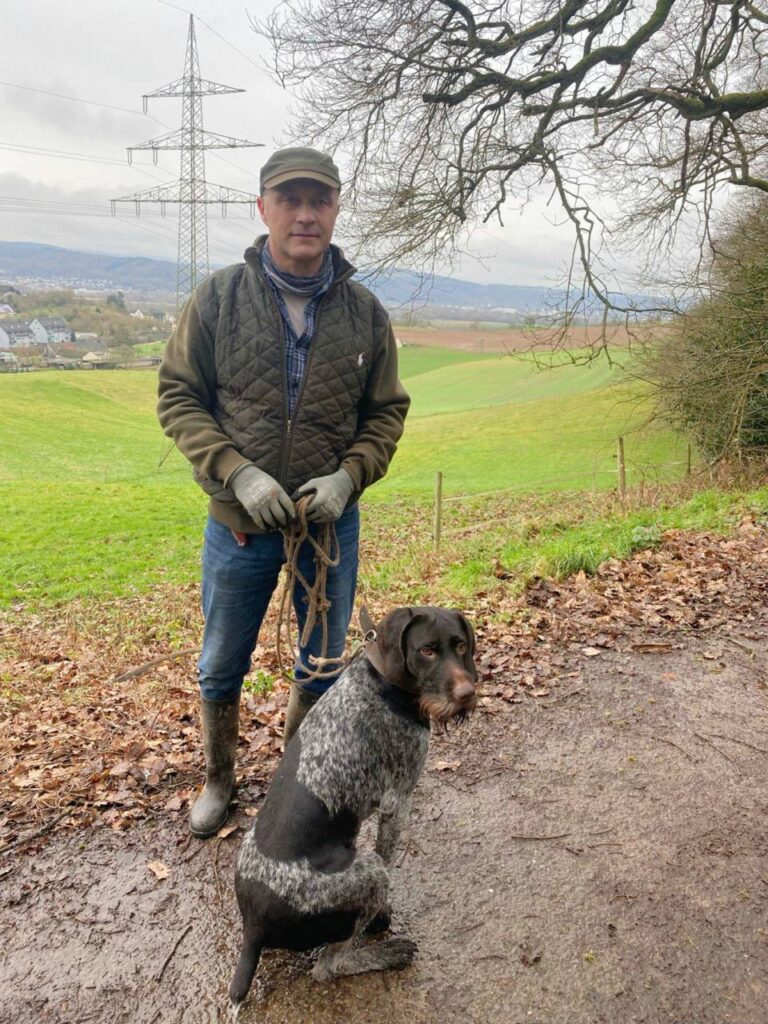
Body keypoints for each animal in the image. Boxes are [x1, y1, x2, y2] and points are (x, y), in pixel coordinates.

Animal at [231, 602, 479, 1003]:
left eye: (460, 645)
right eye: (426, 650)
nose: (467, 693)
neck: (383, 678)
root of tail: (252, 928)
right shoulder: (398, 801)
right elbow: (389, 855)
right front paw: (384, 915)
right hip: (367, 874)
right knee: (330, 967)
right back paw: (390, 951)